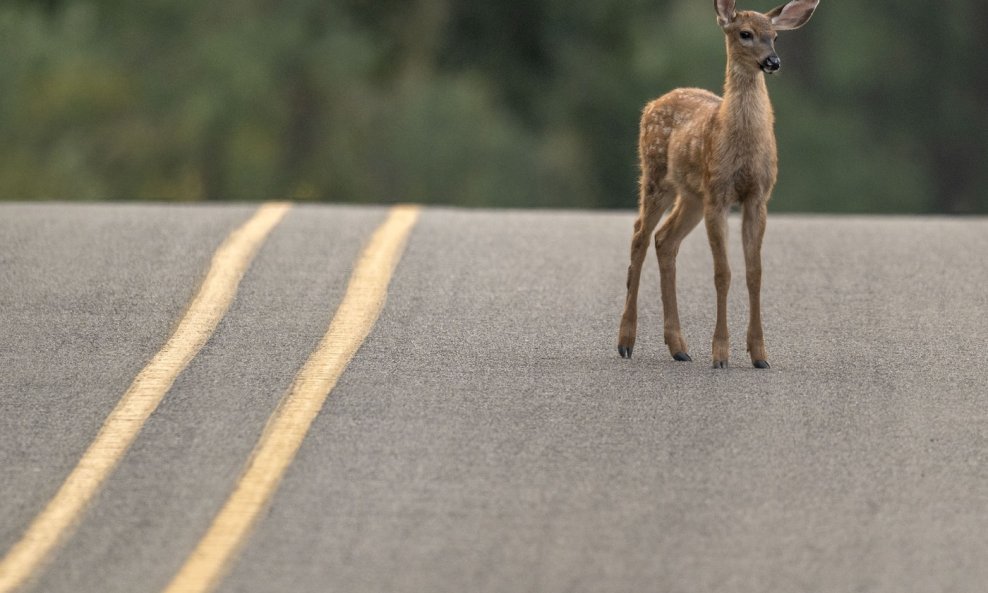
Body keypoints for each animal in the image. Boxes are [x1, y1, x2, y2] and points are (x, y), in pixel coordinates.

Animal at [616, 0, 820, 368]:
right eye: (745, 33)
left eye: (776, 37)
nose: (773, 62)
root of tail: (652, 104)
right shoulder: (719, 194)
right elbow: (723, 272)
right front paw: (721, 353)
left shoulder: (758, 196)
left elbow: (754, 272)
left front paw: (759, 355)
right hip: (656, 175)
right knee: (639, 235)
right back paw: (626, 342)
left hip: (692, 195)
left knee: (664, 239)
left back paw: (679, 347)